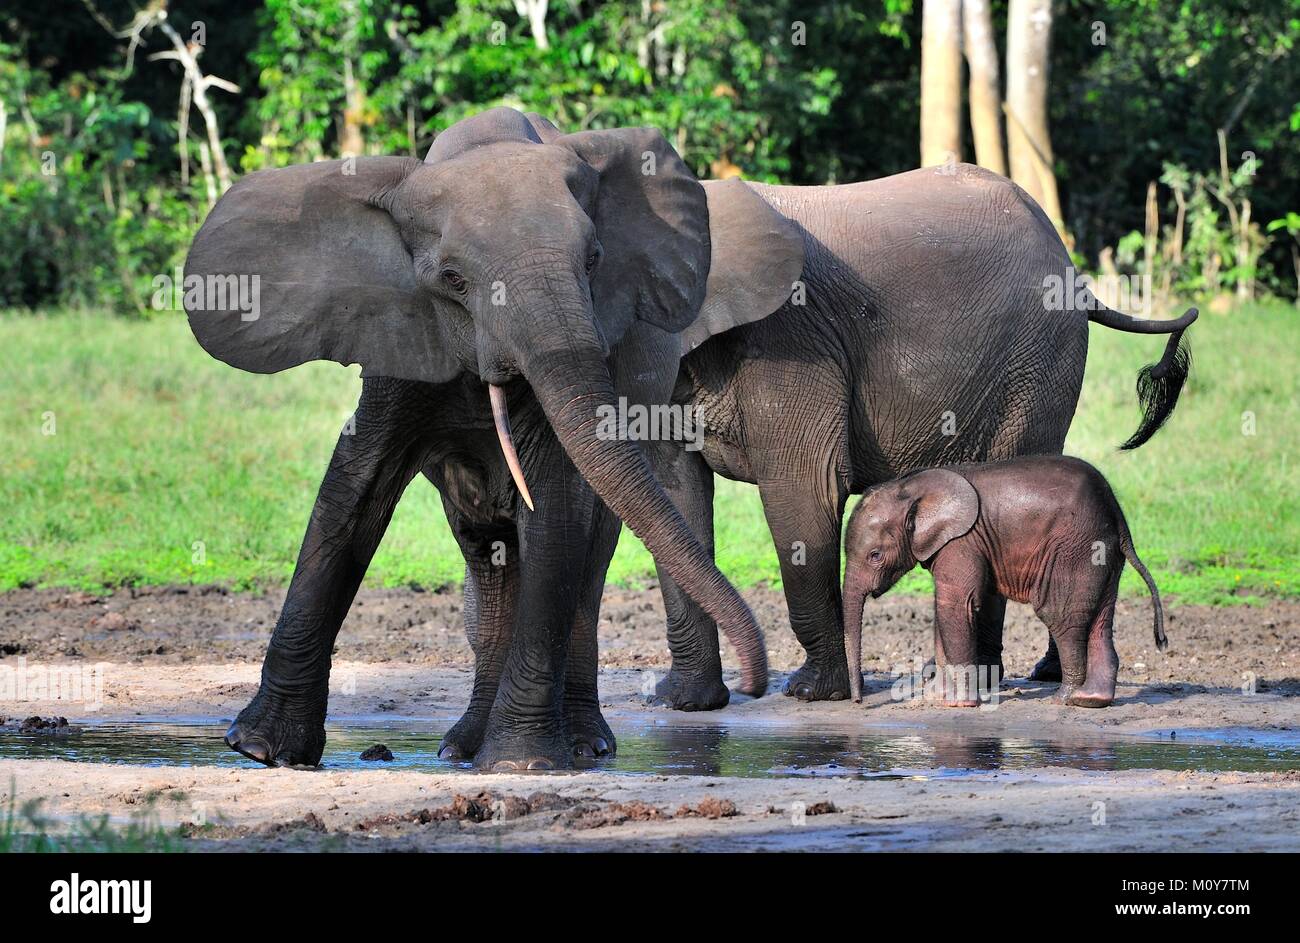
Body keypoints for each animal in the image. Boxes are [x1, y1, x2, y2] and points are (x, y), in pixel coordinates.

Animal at [182, 107, 807, 769]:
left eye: (594, 260)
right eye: (453, 279)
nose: (755, 684)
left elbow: (555, 510)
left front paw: (521, 764)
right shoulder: (400, 341)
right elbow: (352, 491)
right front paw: (261, 750)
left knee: (584, 569)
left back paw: (582, 745)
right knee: (488, 563)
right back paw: (461, 749)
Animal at [841, 456, 1168, 708]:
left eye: (875, 556)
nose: (858, 702)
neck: (911, 487)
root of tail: (1118, 515)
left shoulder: (962, 541)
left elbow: (956, 604)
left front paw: (959, 705)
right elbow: (945, 607)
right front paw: (937, 698)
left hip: (1077, 549)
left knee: (1060, 617)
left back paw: (1064, 698)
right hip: (1103, 555)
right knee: (1100, 621)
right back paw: (1091, 700)